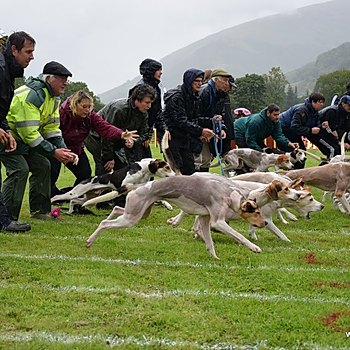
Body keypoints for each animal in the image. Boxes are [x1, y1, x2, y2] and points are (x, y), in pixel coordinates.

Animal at [85, 175, 268, 260]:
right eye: (257, 212)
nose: (265, 223)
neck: (229, 194)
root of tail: (140, 185)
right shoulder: (218, 221)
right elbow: (239, 236)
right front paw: (254, 247)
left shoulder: (204, 219)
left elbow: (209, 242)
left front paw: (214, 257)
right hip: (132, 218)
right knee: (104, 223)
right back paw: (90, 241)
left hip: (139, 213)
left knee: (116, 208)